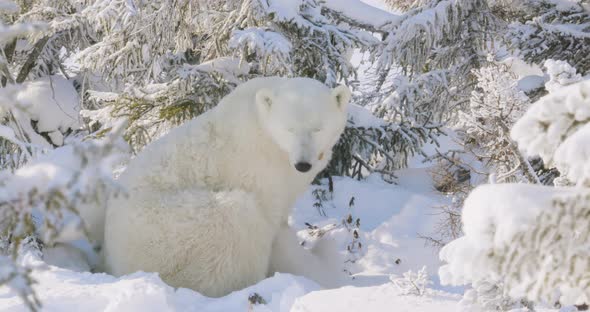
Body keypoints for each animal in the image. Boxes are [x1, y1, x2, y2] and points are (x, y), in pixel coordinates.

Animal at [100, 77, 354, 296]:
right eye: (289, 128)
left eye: (318, 128)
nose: (303, 164)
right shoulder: (260, 168)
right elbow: (272, 222)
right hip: (176, 232)